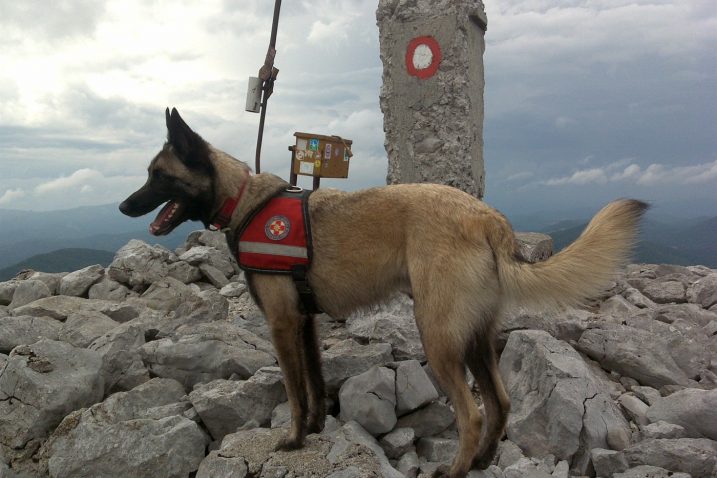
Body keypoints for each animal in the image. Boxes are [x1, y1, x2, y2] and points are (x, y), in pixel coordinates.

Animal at [120, 108, 648, 478]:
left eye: (158, 175)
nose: (124, 206)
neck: (243, 200)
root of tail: (489, 220)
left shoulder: (282, 324)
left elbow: (293, 390)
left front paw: (293, 439)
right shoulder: (305, 323)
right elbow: (313, 385)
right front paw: (315, 428)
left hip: (437, 337)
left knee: (472, 414)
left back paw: (456, 469)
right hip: (475, 338)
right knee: (500, 403)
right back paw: (481, 461)